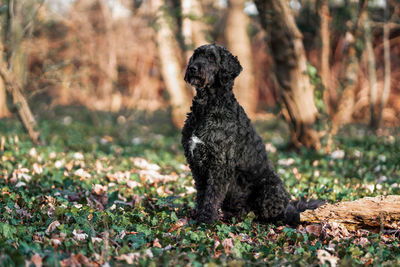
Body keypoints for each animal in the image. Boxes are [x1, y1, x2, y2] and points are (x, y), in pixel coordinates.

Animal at [181, 44, 322, 226]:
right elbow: (201, 194)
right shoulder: (196, 164)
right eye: (196, 56)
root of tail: (290, 206)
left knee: (283, 216)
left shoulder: (219, 164)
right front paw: (198, 217)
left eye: (211, 58)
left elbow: (211, 197)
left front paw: (205, 221)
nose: (192, 68)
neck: (206, 106)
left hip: (269, 188)